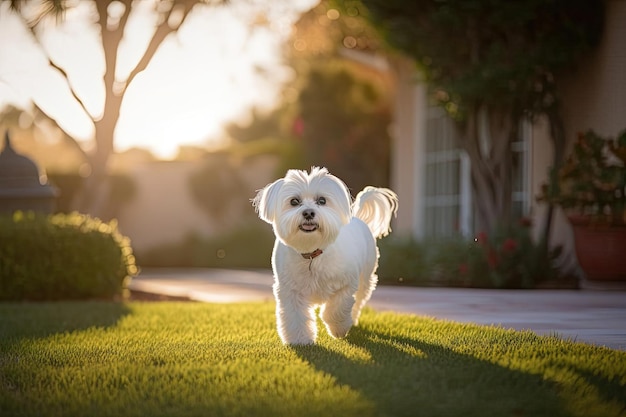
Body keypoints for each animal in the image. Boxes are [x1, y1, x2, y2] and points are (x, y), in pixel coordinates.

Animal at [251, 166, 398, 344]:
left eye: (322, 201)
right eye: (294, 201)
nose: (308, 213)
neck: (313, 253)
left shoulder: (346, 285)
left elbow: (336, 309)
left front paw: (338, 329)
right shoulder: (290, 291)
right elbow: (295, 316)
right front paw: (300, 340)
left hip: (365, 278)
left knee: (358, 300)